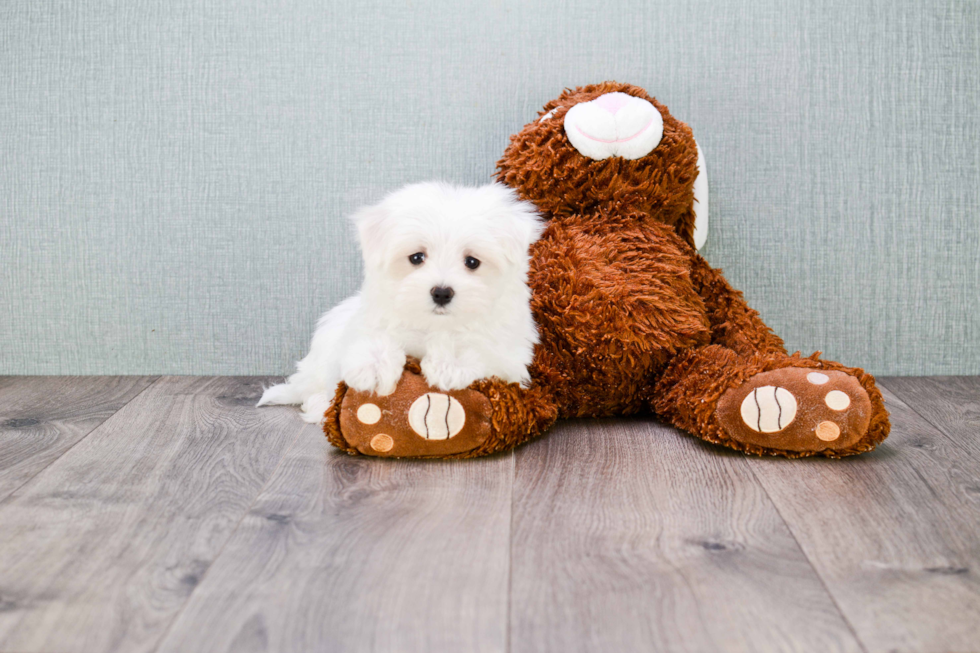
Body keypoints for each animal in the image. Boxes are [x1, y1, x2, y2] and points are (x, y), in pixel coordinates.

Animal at [256, 181, 544, 422]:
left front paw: (450, 365)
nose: (441, 293)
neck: (433, 325)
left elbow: (479, 346)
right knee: (311, 388)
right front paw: (373, 368)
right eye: (416, 257)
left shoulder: (509, 354)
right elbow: (376, 337)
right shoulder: (372, 321)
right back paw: (319, 405)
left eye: (472, 262)